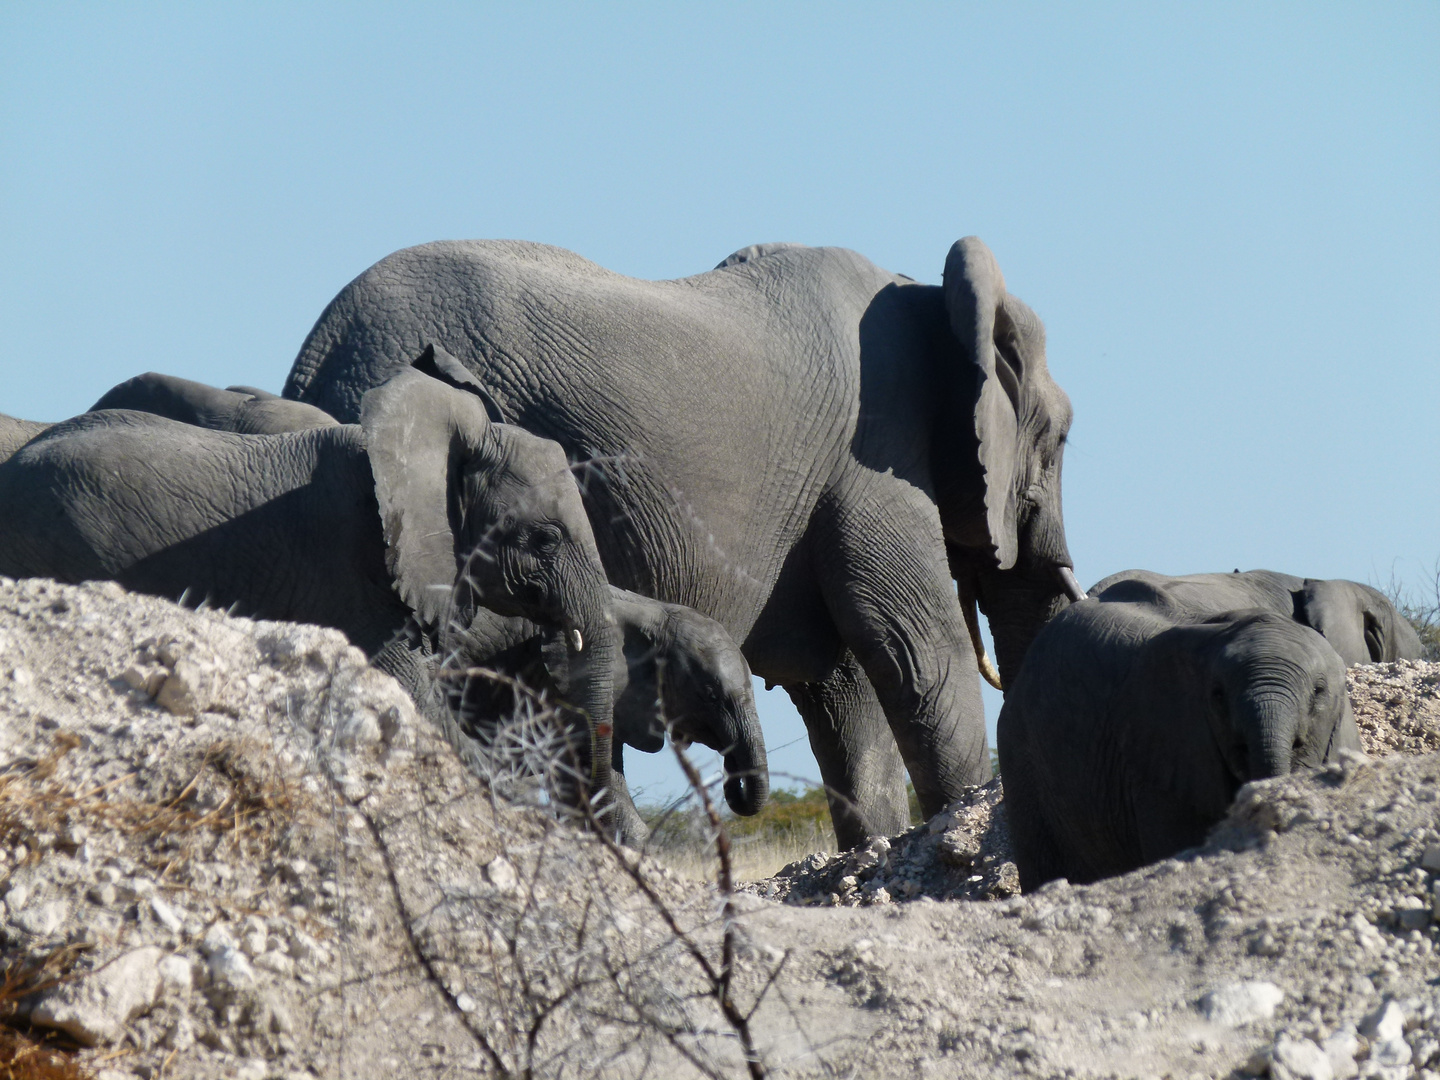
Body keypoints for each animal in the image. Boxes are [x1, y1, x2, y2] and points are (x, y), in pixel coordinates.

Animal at [277, 236, 1082, 852]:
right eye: (1062, 438)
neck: (929, 297)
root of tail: (311, 362)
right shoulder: (874, 451)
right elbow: (913, 645)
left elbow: (841, 685)